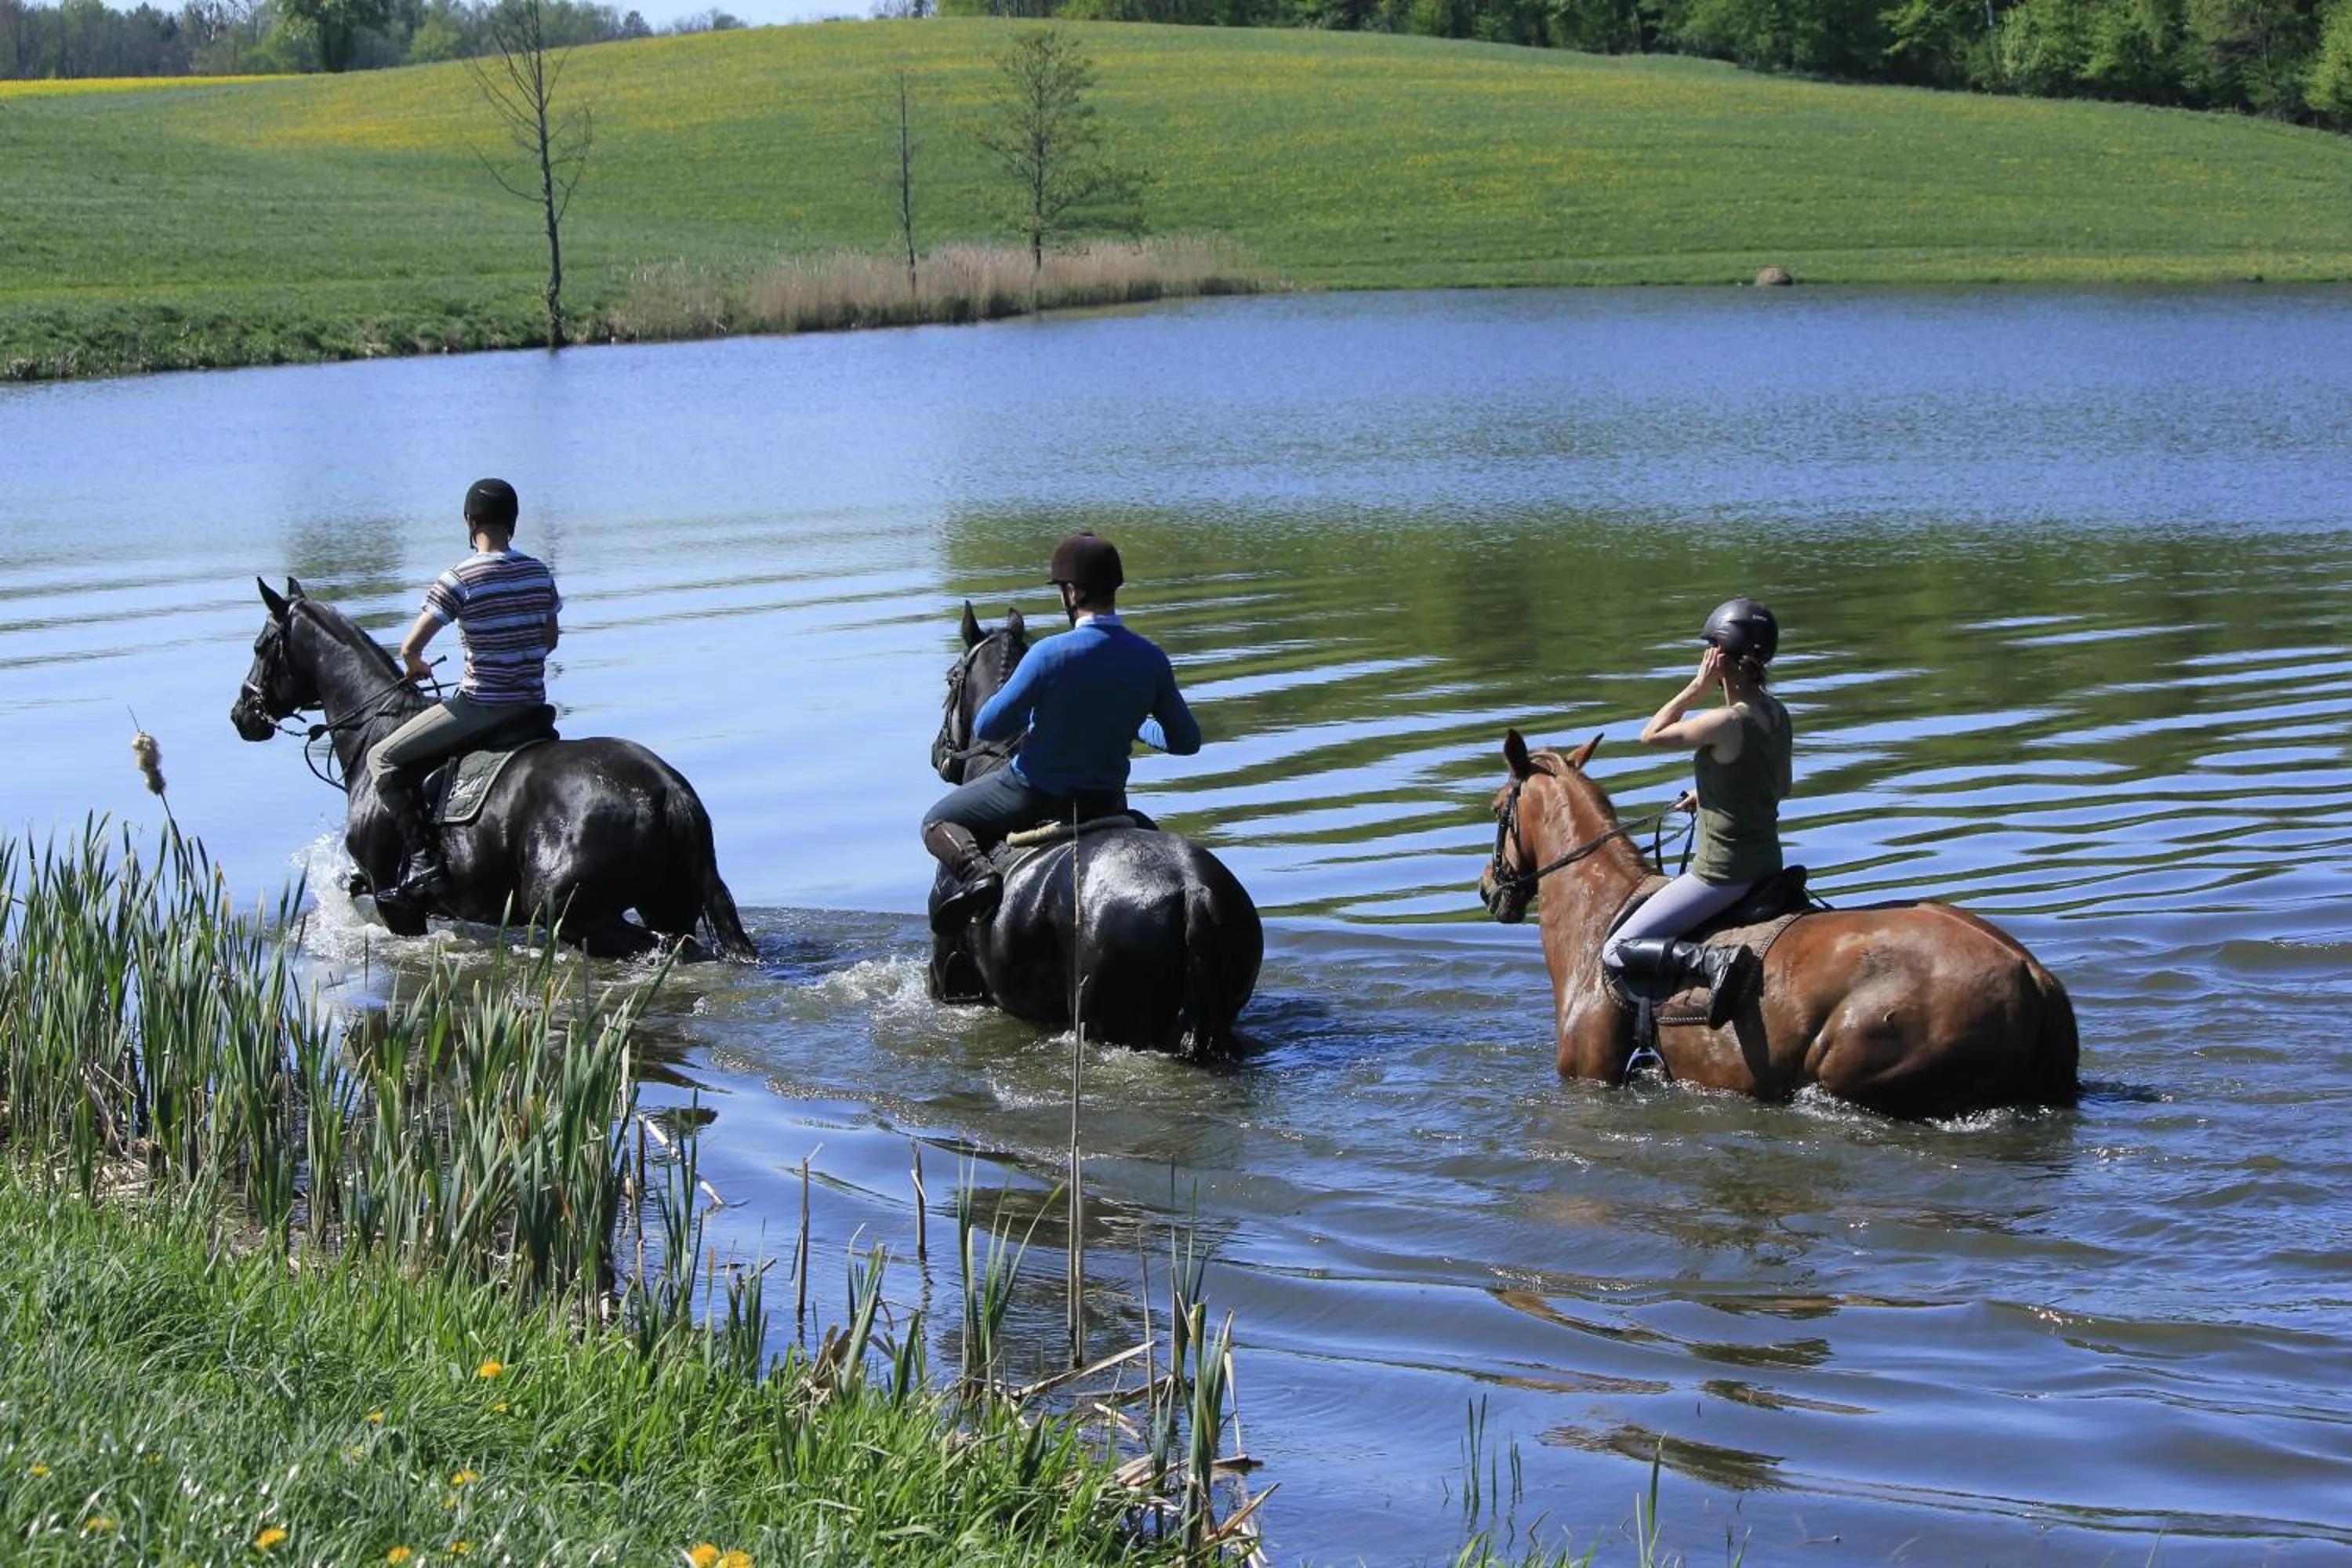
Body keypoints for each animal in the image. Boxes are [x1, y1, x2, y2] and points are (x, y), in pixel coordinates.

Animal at [230, 578, 756, 961]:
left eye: (260, 647)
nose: (241, 716)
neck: (373, 732)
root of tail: (667, 789)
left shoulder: (394, 902)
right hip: (666, 901)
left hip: (568, 910)